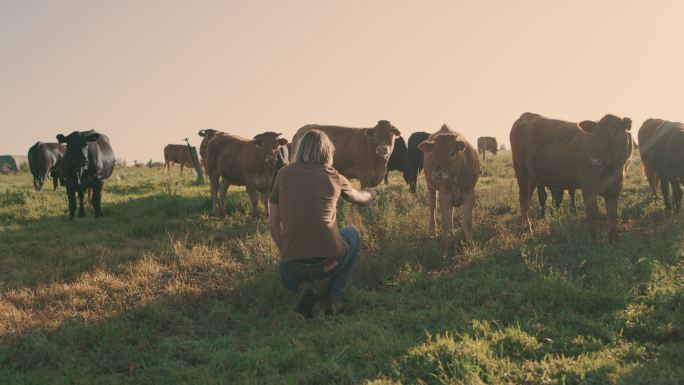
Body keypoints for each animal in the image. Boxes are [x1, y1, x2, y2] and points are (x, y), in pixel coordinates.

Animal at [510, 112, 632, 242]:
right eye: (595, 135)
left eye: (615, 133)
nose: (595, 160)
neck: (611, 170)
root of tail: (526, 116)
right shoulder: (588, 187)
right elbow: (592, 213)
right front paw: (593, 237)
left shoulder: (615, 189)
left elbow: (612, 213)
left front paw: (614, 238)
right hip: (521, 171)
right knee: (523, 200)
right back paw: (527, 229)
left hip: (532, 177)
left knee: (527, 199)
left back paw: (523, 225)